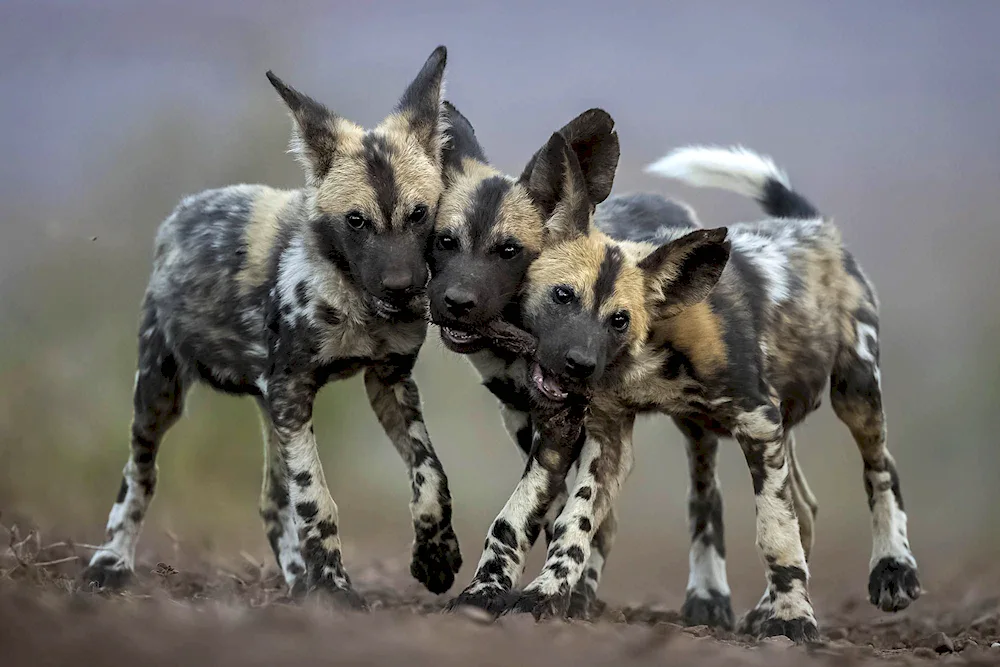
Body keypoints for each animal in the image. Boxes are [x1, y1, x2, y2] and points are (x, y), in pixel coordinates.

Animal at [82, 47, 464, 608]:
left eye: (419, 214)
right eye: (356, 221)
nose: (403, 288)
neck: (356, 304)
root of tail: (182, 212)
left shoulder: (388, 382)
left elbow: (431, 476)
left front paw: (435, 556)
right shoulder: (293, 392)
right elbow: (317, 501)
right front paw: (335, 589)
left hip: (267, 408)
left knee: (271, 502)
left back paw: (297, 580)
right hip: (160, 393)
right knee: (139, 475)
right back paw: (111, 562)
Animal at [470, 145, 920, 640]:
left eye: (620, 319)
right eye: (562, 295)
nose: (580, 364)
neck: (647, 351)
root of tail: (814, 227)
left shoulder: (758, 423)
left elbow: (775, 533)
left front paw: (793, 621)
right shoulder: (609, 438)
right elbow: (575, 521)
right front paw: (545, 595)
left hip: (855, 390)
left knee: (880, 470)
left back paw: (893, 570)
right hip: (718, 426)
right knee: (800, 507)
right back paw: (759, 610)